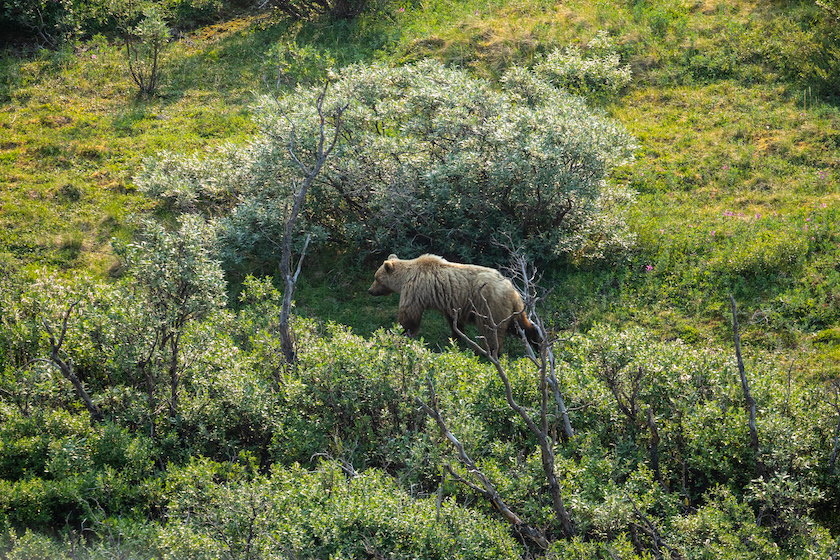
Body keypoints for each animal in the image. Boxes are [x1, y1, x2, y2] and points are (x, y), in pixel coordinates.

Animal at [370, 254, 540, 354]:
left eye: (376, 278)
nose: (369, 290)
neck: (405, 278)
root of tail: (511, 289)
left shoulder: (415, 291)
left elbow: (409, 317)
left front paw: (399, 334)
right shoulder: (450, 303)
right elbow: (454, 322)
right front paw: (456, 339)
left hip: (490, 306)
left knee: (491, 331)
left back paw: (490, 353)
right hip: (512, 310)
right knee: (520, 326)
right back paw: (537, 342)